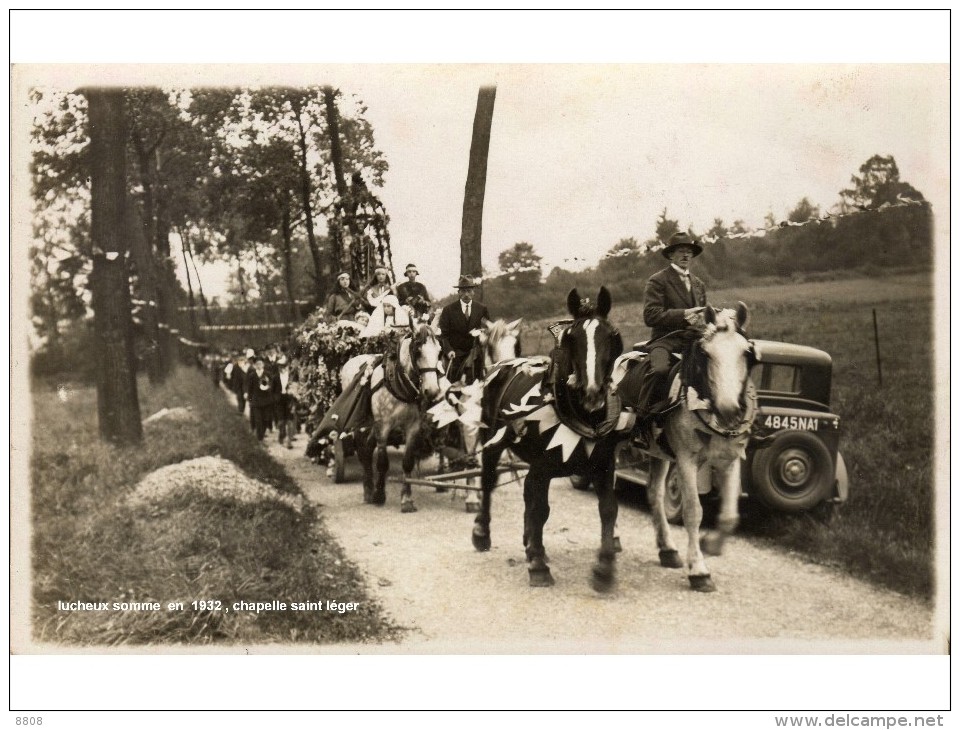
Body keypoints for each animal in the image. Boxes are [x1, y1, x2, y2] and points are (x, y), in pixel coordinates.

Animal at [350, 322, 444, 510]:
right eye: (418, 351)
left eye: (439, 352)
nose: (432, 391)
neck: (399, 383)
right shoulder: (383, 426)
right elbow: (382, 462)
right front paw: (379, 494)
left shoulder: (413, 426)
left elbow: (407, 462)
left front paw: (406, 499)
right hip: (361, 423)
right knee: (363, 451)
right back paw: (368, 490)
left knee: (367, 448)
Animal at [472, 288, 632, 588]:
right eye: (571, 338)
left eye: (612, 336)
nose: (592, 394)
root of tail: (502, 364)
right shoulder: (543, 468)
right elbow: (540, 509)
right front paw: (538, 565)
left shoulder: (604, 466)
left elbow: (608, 509)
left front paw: (604, 568)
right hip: (492, 440)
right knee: (488, 480)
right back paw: (482, 532)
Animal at [620, 302, 760, 592]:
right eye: (706, 353)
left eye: (746, 352)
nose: (729, 410)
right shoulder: (686, 460)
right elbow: (693, 511)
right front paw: (698, 570)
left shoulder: (730, 461)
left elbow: (730, 516)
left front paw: (711, 544)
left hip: (658, 454)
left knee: (654, 493)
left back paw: (667, 550)